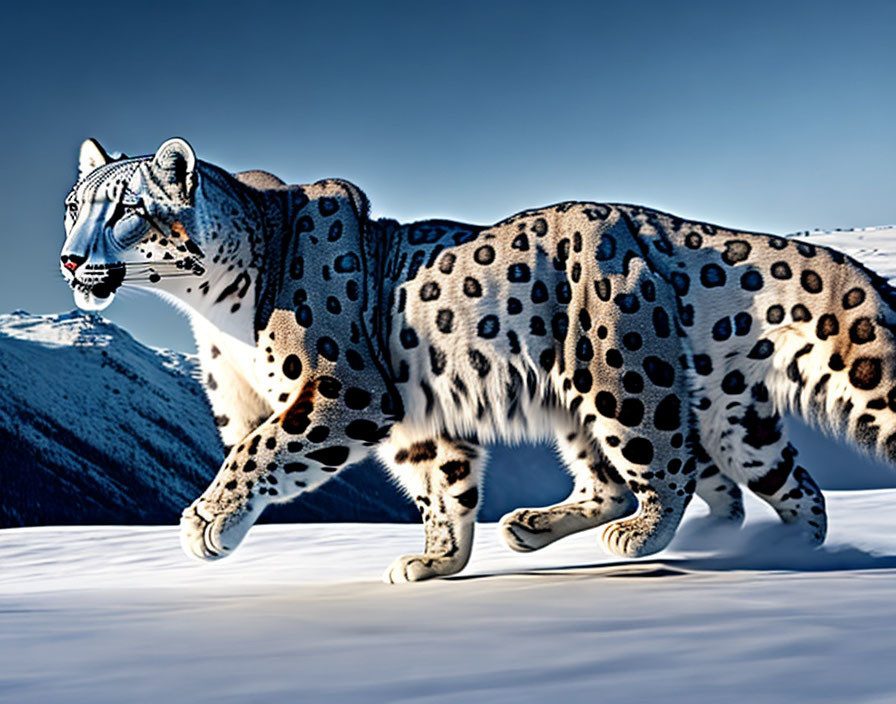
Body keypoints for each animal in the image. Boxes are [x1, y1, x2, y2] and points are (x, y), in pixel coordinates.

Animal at [59, 138, 892, 584]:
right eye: (73, 206)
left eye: (126, 211)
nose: (69, 258)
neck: (210, 314)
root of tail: (666, 225)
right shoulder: (414, 422)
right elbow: (443, 489)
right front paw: (435, 562)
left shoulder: (340, 391)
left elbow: (259, 453)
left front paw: (208, 523)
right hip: (712, 411)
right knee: (782, 484)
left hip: (617, 375)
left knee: (669, 466)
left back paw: (644, 538)